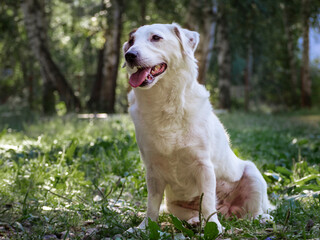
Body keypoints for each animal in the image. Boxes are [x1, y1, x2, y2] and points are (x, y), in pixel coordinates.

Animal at [122, 23, 272, 233]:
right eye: (131, 41)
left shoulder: (203, 166)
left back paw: (260, 219)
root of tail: (226, 211)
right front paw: (144, 227)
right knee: (193, 213)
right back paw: (194, 221)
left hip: (253, 174)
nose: (129, 55)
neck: (164, 105)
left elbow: (208, 201)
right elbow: (151, 205)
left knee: (253, 213)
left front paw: (214, 227)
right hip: (174, 205)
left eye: (156, 38)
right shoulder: (152, 170)